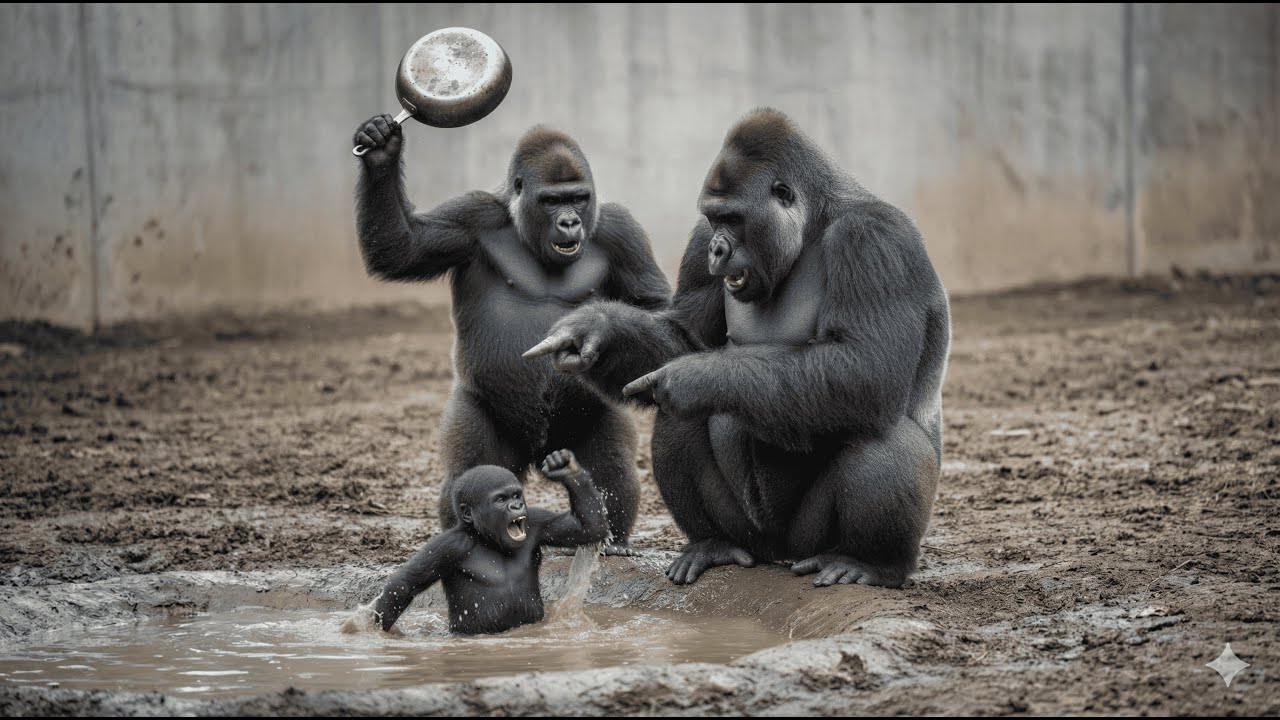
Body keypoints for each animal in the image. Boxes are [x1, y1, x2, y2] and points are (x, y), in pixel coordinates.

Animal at [341, 450, 606, 635]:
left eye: (516, 495)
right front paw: (370, 631)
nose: (516, 506)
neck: (486, 538)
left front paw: (567, 469)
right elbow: (404, 583)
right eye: (501, 499)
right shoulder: (449, 544)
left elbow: (588, 529)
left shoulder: (537, 523)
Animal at [351, 115, 671, 555]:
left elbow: (654, 306)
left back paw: (612, 541)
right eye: (552, 201)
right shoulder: (472, 216)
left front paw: (601, 329)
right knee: (473, 472)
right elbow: (404, 248)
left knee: (613, 468)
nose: (570, 221)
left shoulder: (623, 231)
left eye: (578, 198)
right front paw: (381, 153)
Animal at [526, 108, 951, 588]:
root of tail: (778, 555)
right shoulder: (697, 244)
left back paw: (868, 561)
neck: (813, 224)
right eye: (713, 221)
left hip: (807, 540)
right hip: (753, 538)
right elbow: (684, 337)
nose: (716, 249)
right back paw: (714, 543)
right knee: (679, 421)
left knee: (880, 429)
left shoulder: (874, 240)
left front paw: (695, 378)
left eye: (732, 218)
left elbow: (867, 367)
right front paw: (597, 329)